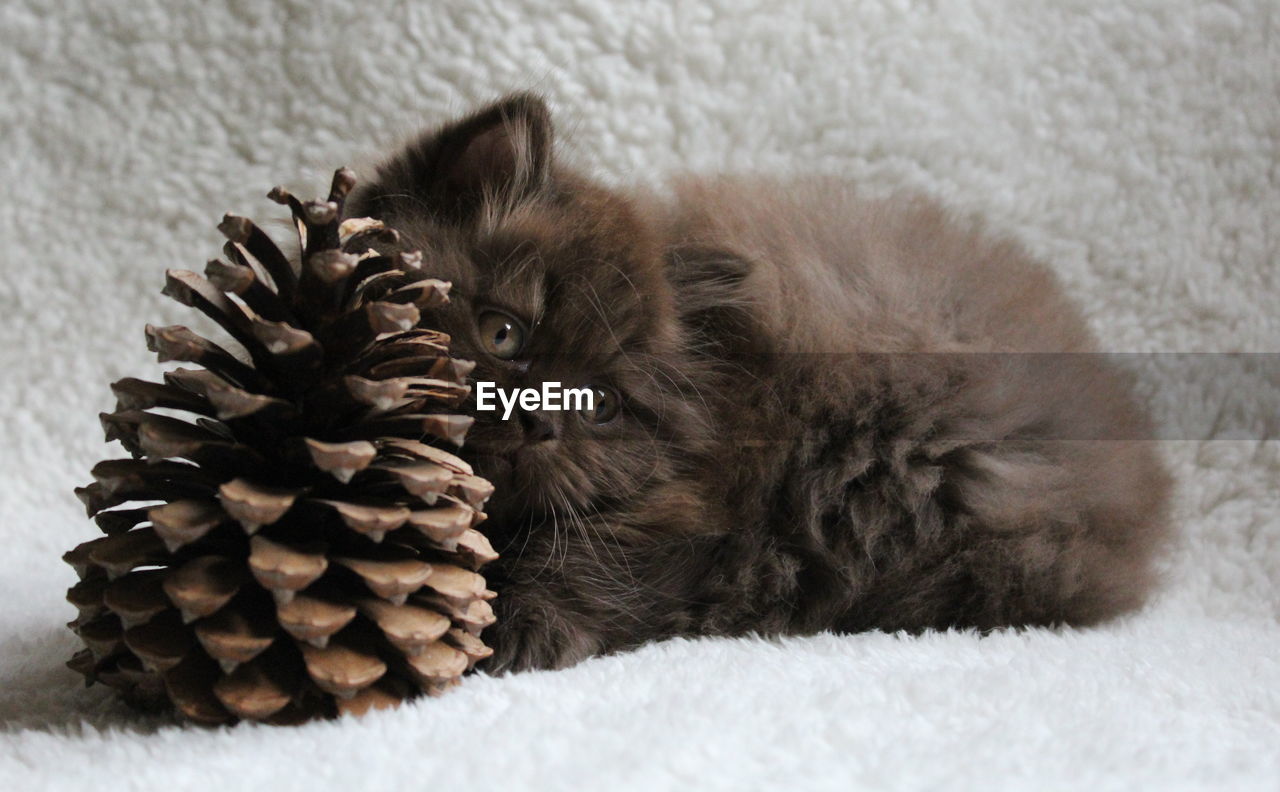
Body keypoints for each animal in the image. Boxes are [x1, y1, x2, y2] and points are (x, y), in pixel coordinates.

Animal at [345, 94, 1172, 675]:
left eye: (604, 404)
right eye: (503, 334)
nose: (539, 421)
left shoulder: (692, 526)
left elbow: (596, 566)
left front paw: (521, 629)